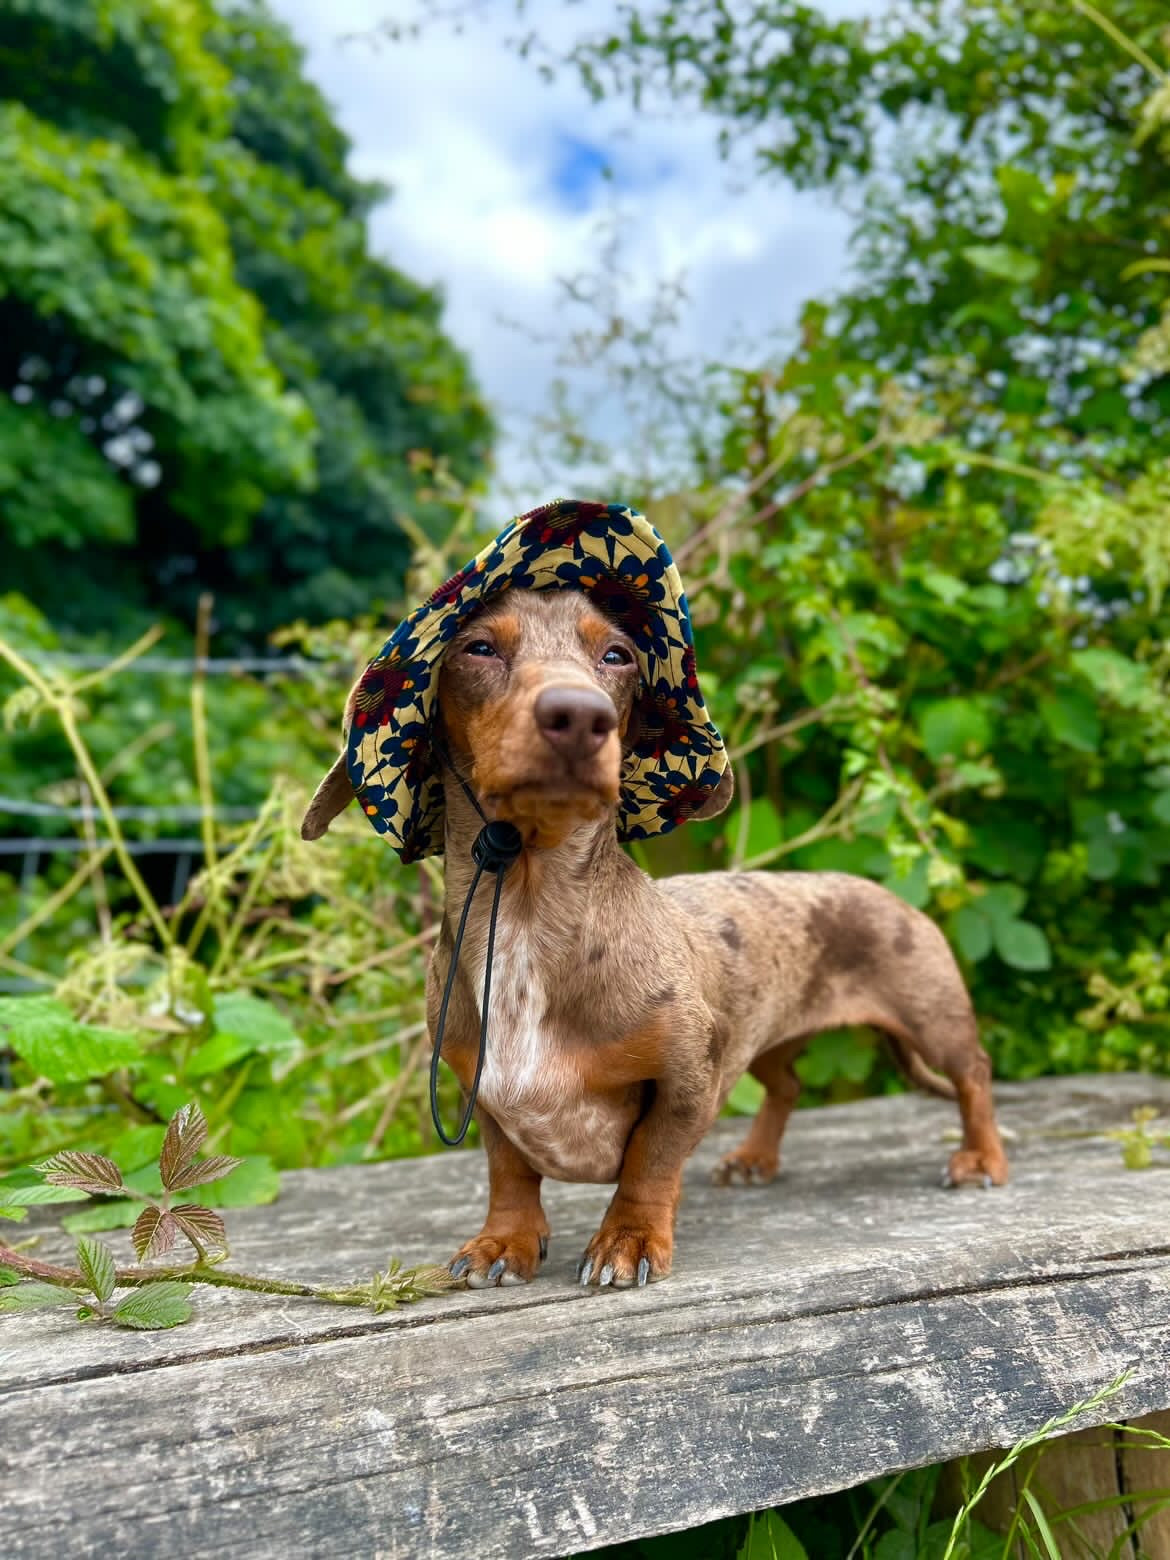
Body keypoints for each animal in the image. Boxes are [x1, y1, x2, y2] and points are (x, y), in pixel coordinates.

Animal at [307, 586, 1010, 1291]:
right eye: (477, 647)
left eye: (616, 655)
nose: (579, 716)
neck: (529, 911)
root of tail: (889, 893)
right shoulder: (482, 1090)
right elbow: (508, 1171)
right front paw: (503, 1241)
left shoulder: (688, 1077)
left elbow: (649, 1161)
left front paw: (629, 1239)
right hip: (766, 1035)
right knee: (786, 1086)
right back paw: (755, 1158)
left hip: (934, 1019)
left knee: (974, 1076)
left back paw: (982, 1159)